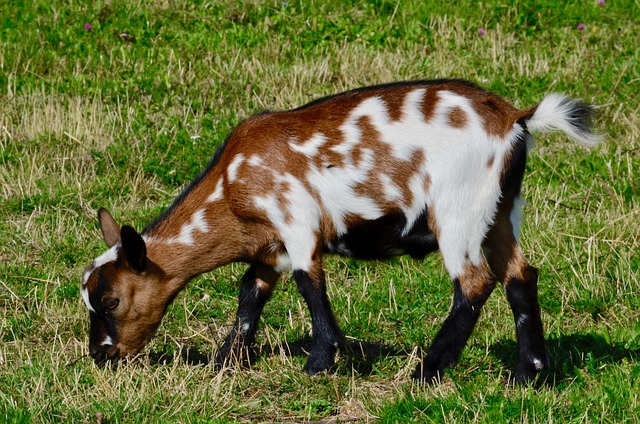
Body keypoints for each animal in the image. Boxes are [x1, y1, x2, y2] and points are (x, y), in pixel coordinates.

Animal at [80, 79, 600, 384]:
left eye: (111, 301)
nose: (102, 355)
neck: (232, 184)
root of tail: (514, 119)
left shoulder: (295, 221)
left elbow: (310, 285)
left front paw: (320, 363)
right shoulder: (268, 248)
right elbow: (251, 294)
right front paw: (226, 361)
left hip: (459, 209)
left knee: (474, 282)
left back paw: (427, 370)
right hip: (502, 210)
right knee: (520, 276)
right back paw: (530, 374)